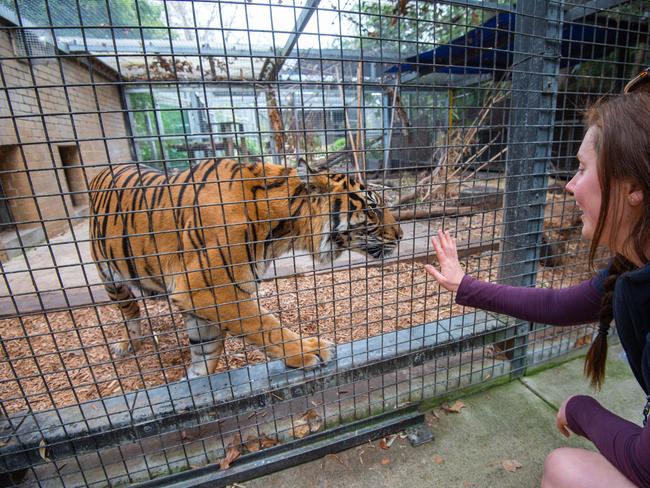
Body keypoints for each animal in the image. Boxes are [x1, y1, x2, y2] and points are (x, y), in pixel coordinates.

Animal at [86, 158, 400, 380]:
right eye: (373, 209)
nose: (400, 235)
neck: (283, 229)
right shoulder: (209, 288)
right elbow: (263, 325)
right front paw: (309, 350)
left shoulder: (199, 302)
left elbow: (205, 351)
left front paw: (195, 383)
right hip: (110, 278)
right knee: (130, 311)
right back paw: (126, 344)